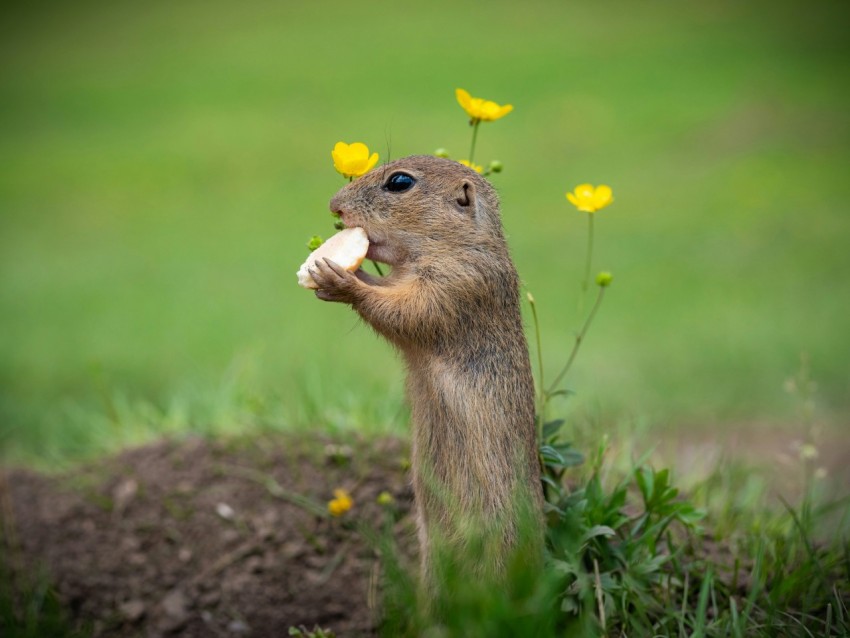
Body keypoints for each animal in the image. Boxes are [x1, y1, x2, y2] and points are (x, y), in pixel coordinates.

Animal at [310, 155, 543, 586]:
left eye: (399, 183)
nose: (335, 206)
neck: (457, 245)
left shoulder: (459, 285)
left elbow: (406, 312)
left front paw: (340, 281)